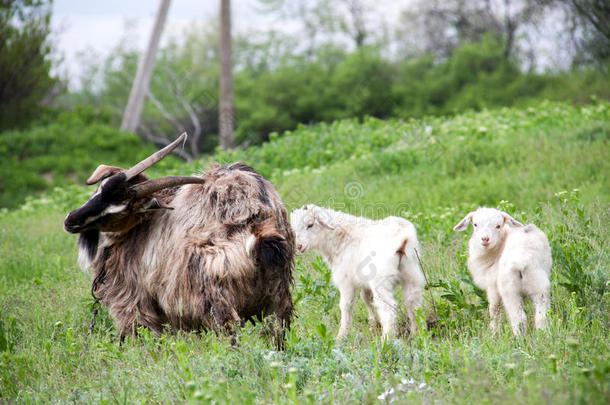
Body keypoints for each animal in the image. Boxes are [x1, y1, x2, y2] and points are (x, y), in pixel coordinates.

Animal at [65, 134, 294, 342]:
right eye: (100, 189)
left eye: (123, 210)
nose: (71, 220)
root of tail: (258, 226)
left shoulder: (132, 299)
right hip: (278, 297)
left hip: (215, 296)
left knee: (231, 332)